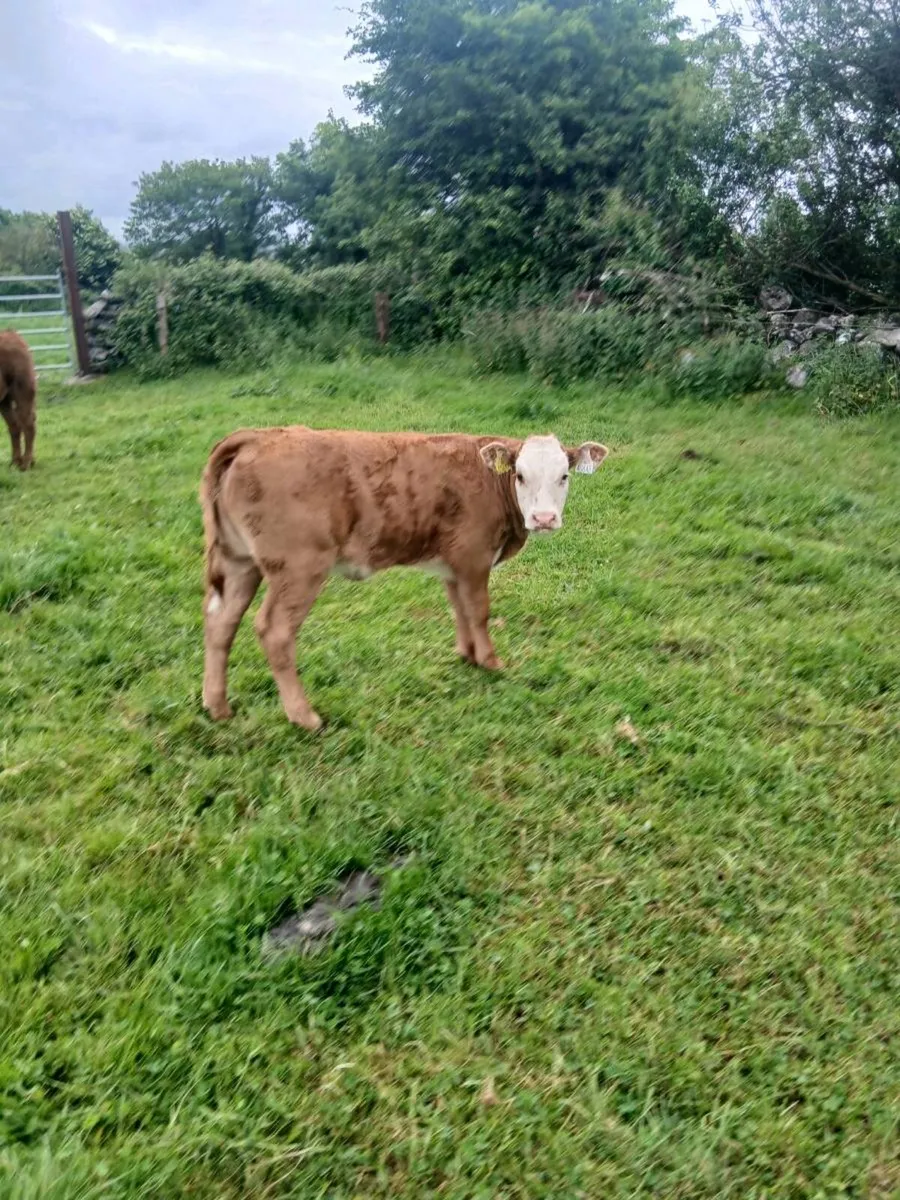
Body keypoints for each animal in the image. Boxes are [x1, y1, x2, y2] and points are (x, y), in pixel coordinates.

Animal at [0, 331, 37, 470]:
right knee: (14, 425)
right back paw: (16, 462)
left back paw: (26, 463)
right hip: (4, 400)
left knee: (27, 424)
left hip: (22, 390)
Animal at [199, 427, 609, 730]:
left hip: (239, 561)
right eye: (520, 475)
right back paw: (304, 716)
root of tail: (257, 435)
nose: (544, 518)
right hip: (299, 568)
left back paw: (217, 706)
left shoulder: (454, 564)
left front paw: (467, 655)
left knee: (221, 622)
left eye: (564, 476)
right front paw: (491, 662)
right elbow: (479, 611)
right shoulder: (474, 557)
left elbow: (459, 609)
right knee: (275, 632)